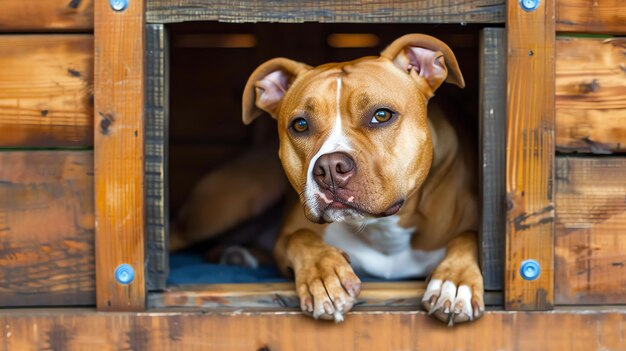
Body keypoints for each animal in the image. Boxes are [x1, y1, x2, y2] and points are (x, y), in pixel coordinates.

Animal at [241, 34, 480, 326]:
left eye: (382, 115)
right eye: (300, 125)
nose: (331, 168)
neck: (384, 229)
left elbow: (470, 237)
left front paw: (455, 282)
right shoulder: (287, 234)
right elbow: (300, 236)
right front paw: (325, 276)